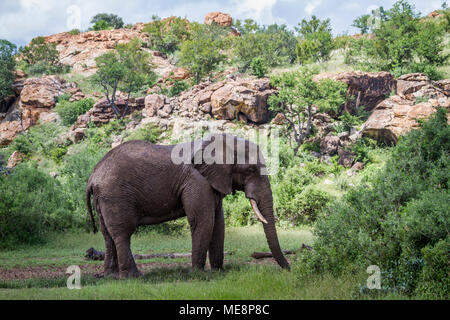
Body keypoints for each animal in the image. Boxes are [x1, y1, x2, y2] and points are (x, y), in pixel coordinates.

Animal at [86, 132, 290, 278]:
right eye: (251, 170)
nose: (289, 269)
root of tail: (93, 176)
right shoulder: (196, 180)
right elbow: (204, 221)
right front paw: (198, 274)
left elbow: (218, 223)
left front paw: (218, 272)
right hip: (115, 195)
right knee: (123, 233)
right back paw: (134, 277)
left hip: (104, 198)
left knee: (107, 234)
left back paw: (111, 276)